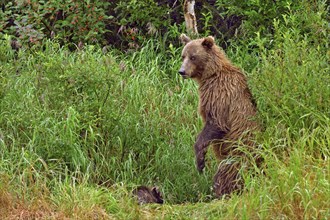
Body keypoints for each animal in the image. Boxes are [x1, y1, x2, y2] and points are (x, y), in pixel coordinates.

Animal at [179, 33, 260, 197]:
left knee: (226, 173)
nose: (182, 71)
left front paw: (200, 162)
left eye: (193, 57)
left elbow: (216, 123)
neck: (210, 74)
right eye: (183, 56)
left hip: (238, 153)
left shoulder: (219, 94)